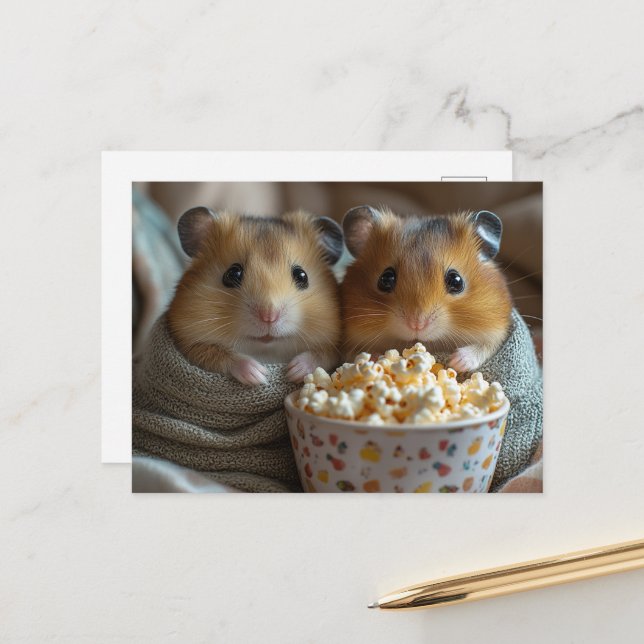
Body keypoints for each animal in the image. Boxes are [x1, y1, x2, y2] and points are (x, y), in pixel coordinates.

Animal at [167, 207, 343, 385]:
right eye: (232, 274)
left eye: (302, 276)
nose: (269, 316)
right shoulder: (190, 345)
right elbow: (223, 357)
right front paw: (259, 375)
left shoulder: (334, 350)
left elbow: (320, 356)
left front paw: (293, 371)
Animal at [340, 205, 512, 372]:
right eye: (385, 279)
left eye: (456, 281)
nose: (417, 324)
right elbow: (354, 354)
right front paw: (374, 358)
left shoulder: (498, 334)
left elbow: (485, 347)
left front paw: (455, 362)